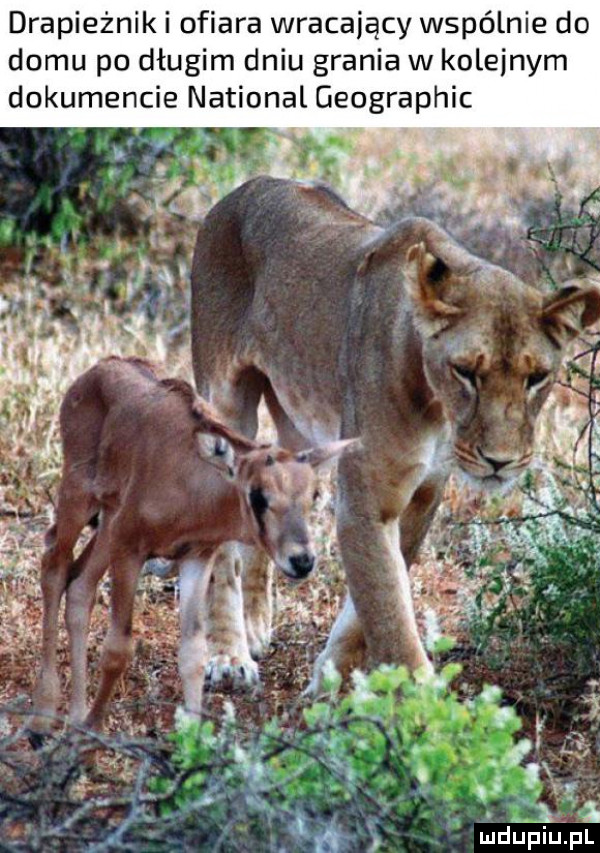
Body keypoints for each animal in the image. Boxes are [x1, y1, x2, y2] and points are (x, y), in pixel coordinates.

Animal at [31, 356, 352, 736]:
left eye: (313, 495)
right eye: (258, 495)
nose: (302, 560)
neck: (190, 483)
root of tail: (96, 370)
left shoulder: (196, 557)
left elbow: (194, 653)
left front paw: (192, 739)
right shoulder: (130, 551)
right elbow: (118, 648)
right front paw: (93, 733)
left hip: (107, 524)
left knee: (80, 584)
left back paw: (75, 716)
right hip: (79, 497)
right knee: (54, 563)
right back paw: (42, 718)